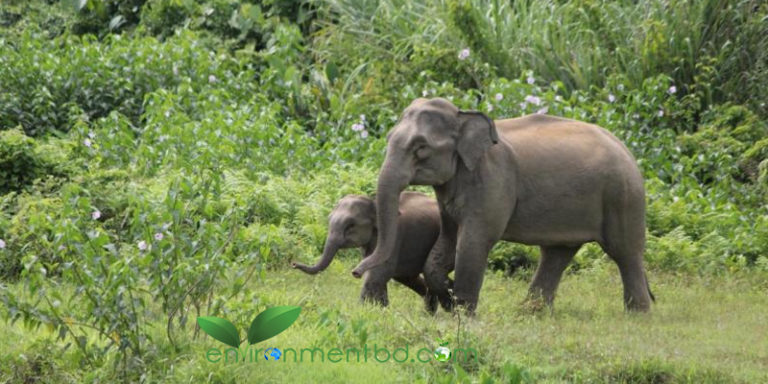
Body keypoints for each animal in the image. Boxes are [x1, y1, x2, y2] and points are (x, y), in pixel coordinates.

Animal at [292, 192, 450, 312]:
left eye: (351, 225)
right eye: (328, 219)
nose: (293, 264)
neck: (373, 202)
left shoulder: (394, 236)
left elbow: (379, 272)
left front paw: (362, 312)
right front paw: (382, 310)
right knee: (407, 278)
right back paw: (429, 313)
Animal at [352, 99, 652, 316]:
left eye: (421, 147)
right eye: (389, 138)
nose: (355, 271)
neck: (463, 115)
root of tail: (627, 150)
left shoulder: (493, 180)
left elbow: (473, 242)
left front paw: (463, 313)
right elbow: (446, 242)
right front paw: (449, 296)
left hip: (622, 196)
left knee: (624, 251)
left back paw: (637, 315)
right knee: (557, 253)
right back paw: (532, 312)